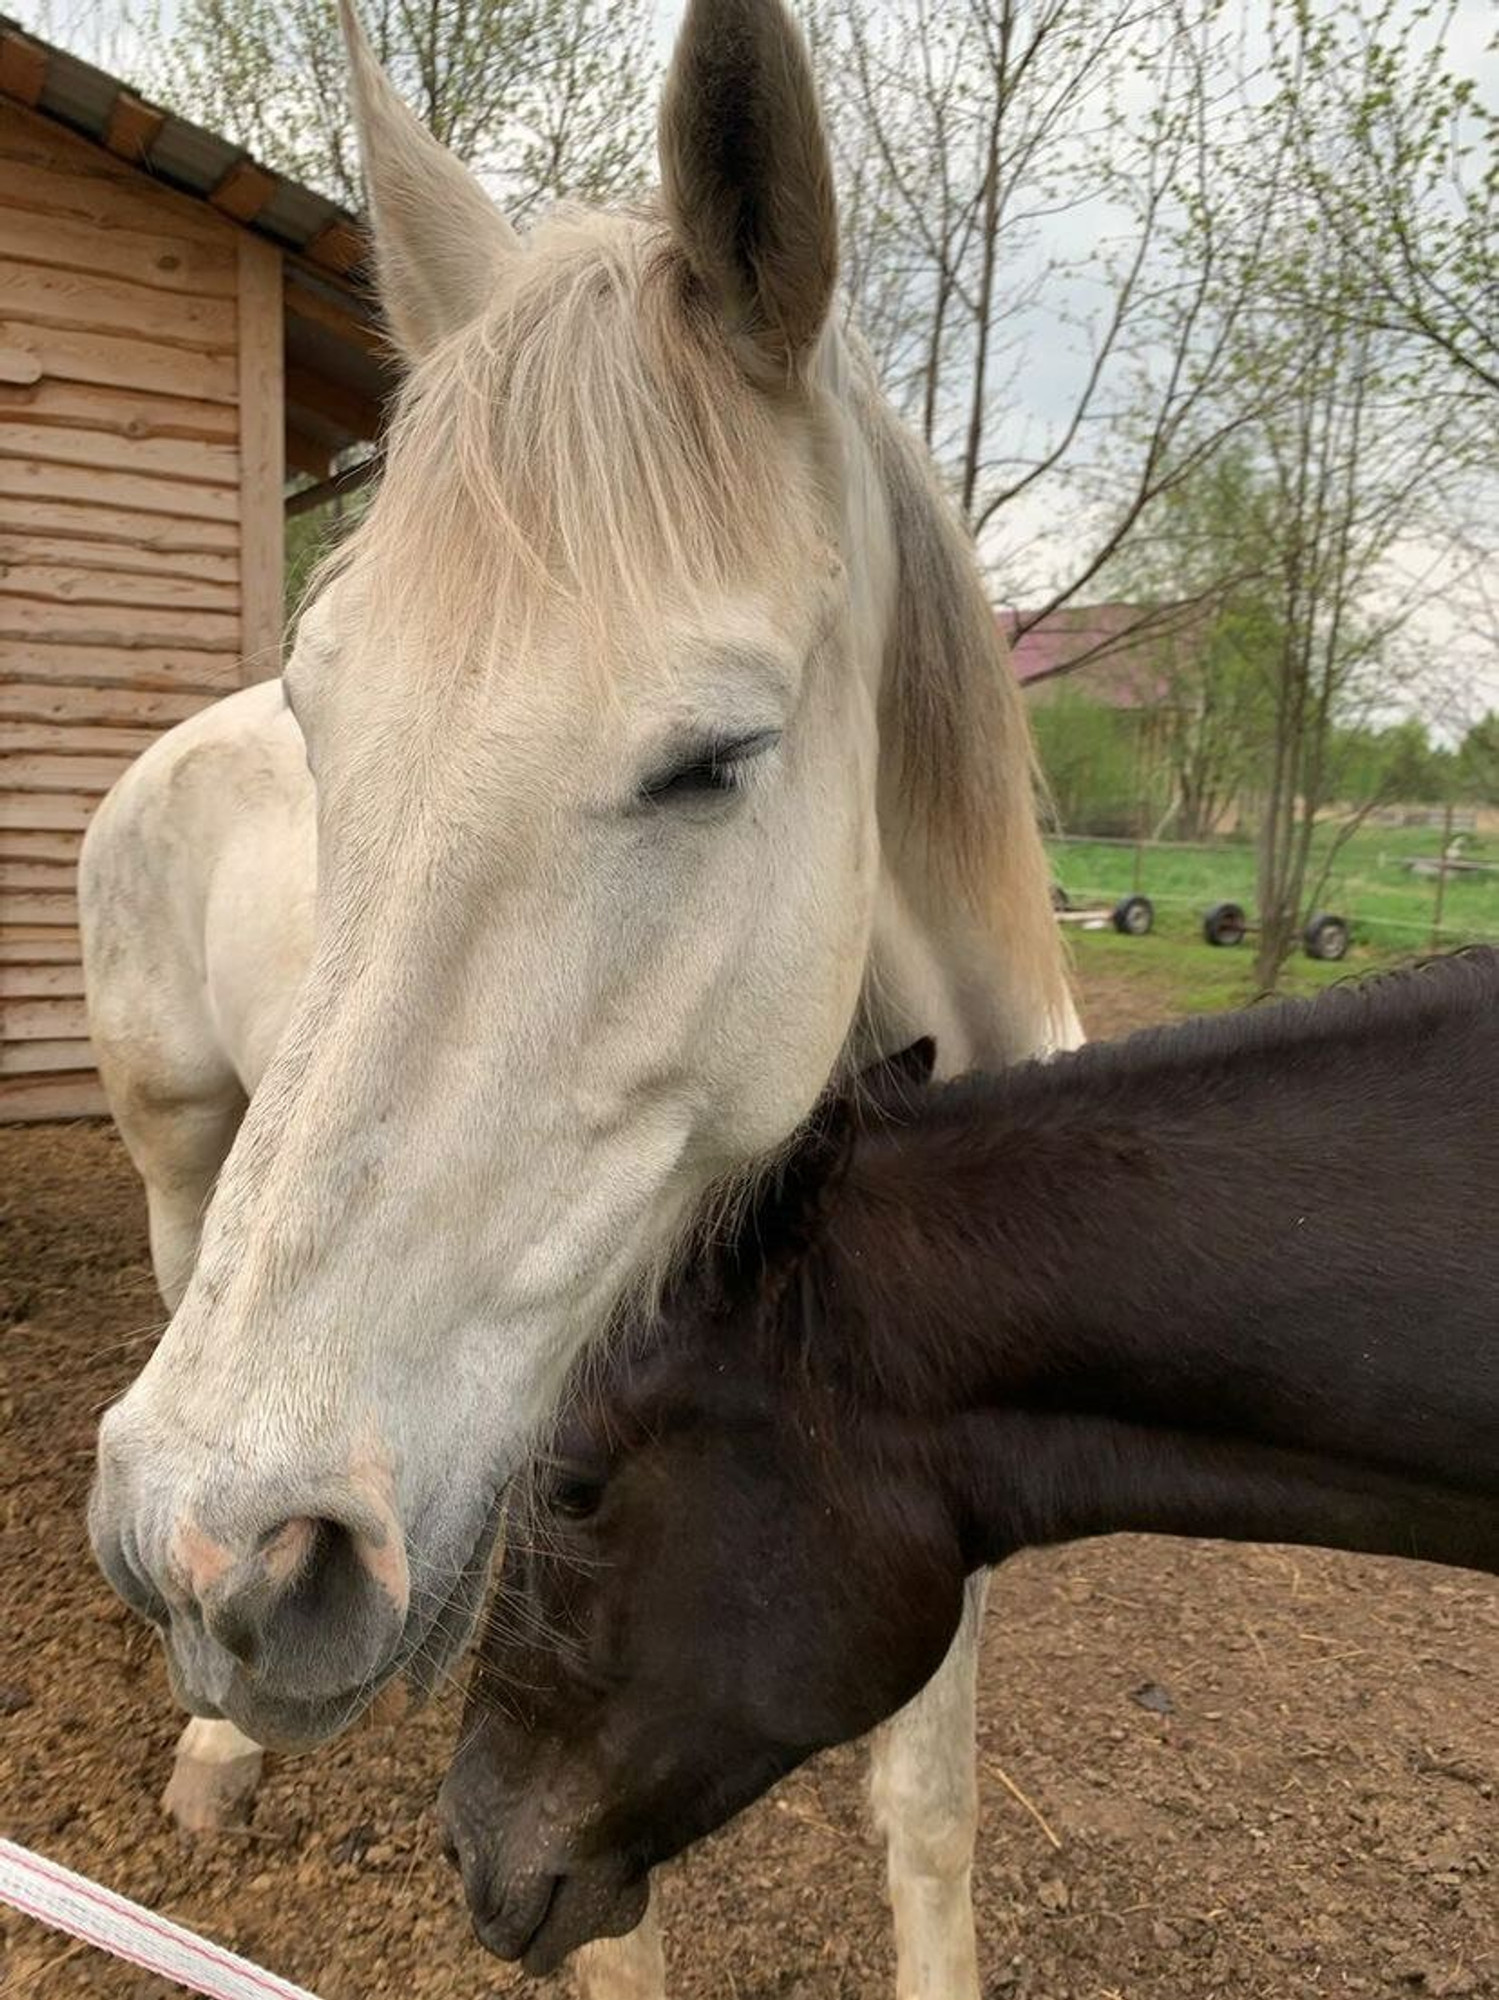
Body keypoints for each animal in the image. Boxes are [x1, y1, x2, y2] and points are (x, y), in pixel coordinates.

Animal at [81, 0, 1079, 1992]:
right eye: (322, 709)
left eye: (713, 761)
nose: (238, 1555)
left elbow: (926, 1813)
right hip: (183, 1168)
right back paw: (216, 1742)